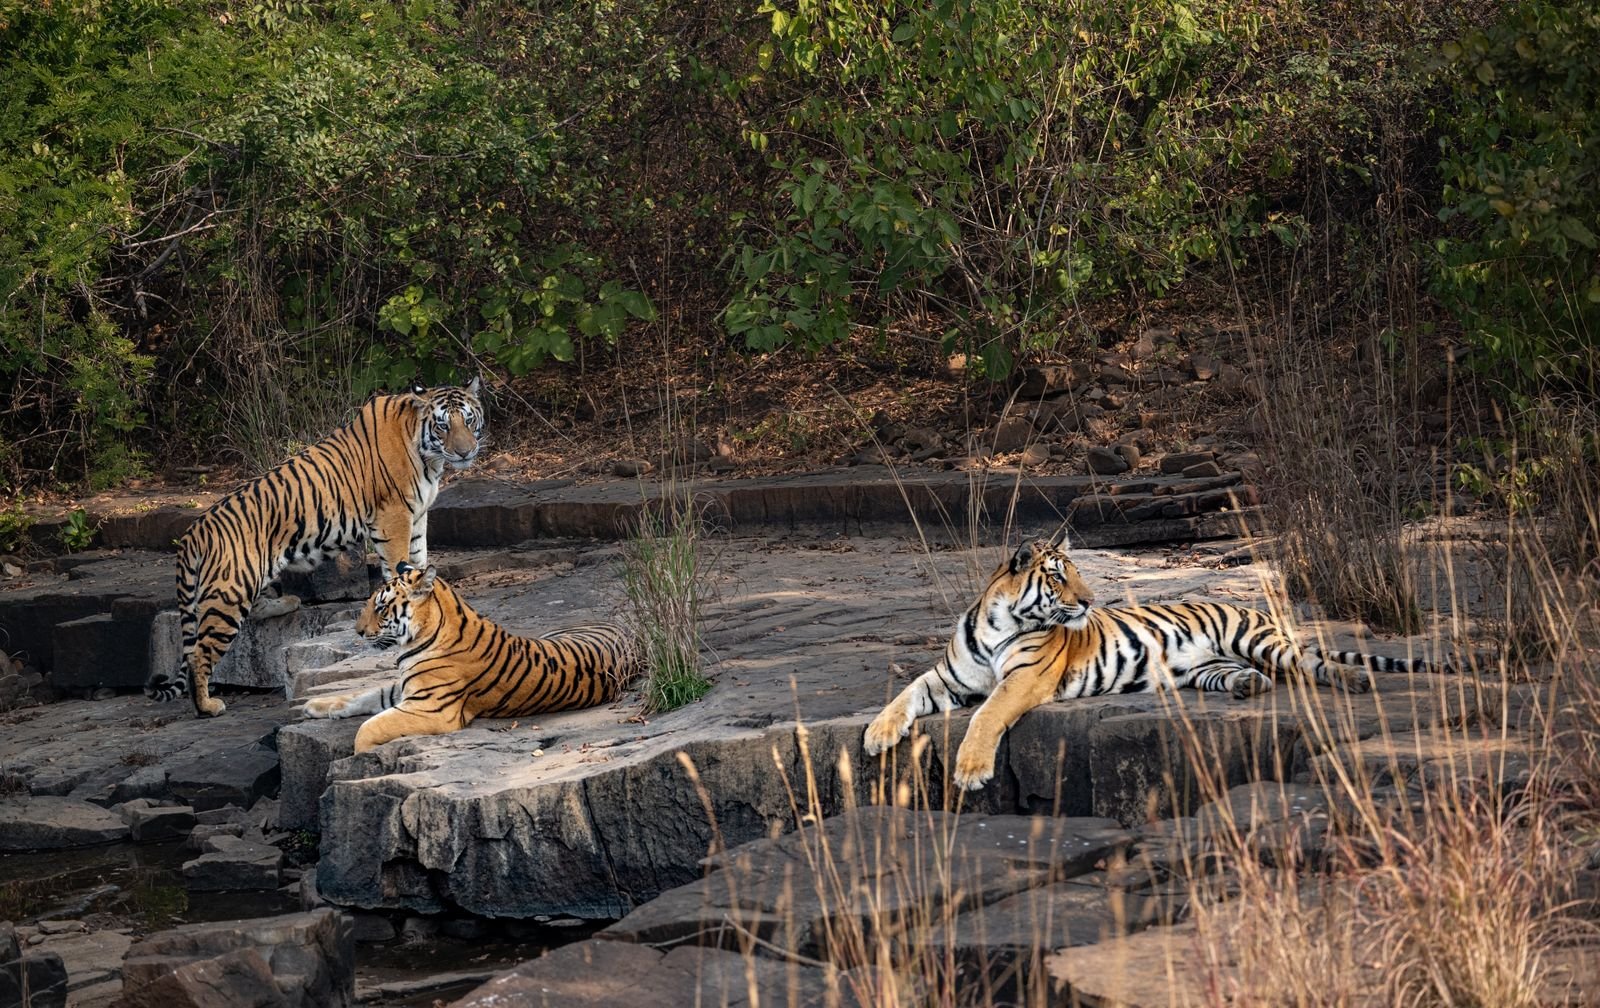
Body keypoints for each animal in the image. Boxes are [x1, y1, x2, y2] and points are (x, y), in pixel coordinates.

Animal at [144, 379, 486, 717]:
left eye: (468, 420)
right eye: (443, 425)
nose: (465, 451)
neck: (429, 456)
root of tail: (194, 531)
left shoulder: (417, 518)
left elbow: (418, 559)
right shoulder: (394, 517)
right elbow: (400, 564)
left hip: (255, 575)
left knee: (255, 608)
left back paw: (287, 602)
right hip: (229, 594)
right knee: (199, 654)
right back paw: (207, 706)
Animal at [299, 562, 637, 753]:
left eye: (380, 608)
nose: (356, 632)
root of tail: (622, 629)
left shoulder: (431, 708)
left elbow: (370, 726)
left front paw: (359, 755)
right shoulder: (406, 688)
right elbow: (363, 696)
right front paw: (318, 706)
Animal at [862, 527, 1451, 791]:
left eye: (1077, 573)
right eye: (1059, 577)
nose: (1091, 601)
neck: (998, 623)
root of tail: (1250, 606)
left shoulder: (1023, 681)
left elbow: (986, 716)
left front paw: (970, 770)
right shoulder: (946, 678)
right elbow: (903, 694)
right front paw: (877, 735)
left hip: (1258, 640)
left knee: (1311, 663)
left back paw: (1352, 681)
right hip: (1206, 667)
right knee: (1250, 676)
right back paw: (1250, 688)